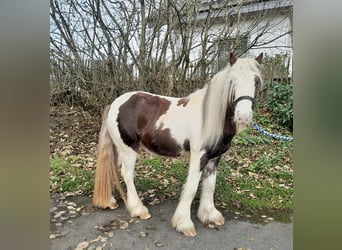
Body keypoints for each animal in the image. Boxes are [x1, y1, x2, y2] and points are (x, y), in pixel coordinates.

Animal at [92, 52, 264, 236]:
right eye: (232, 81)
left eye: (256, 81)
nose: (243, 116)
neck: (210, 117)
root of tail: (114, 104)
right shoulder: (199, 156)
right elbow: (191, 188)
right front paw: (184, 223)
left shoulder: (214, 157)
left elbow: (210, 185)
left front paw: (209, 215)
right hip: (129, 149)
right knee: (127, 174)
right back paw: (139, 210)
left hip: (120, 149)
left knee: (113, 169)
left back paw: (110, 201)